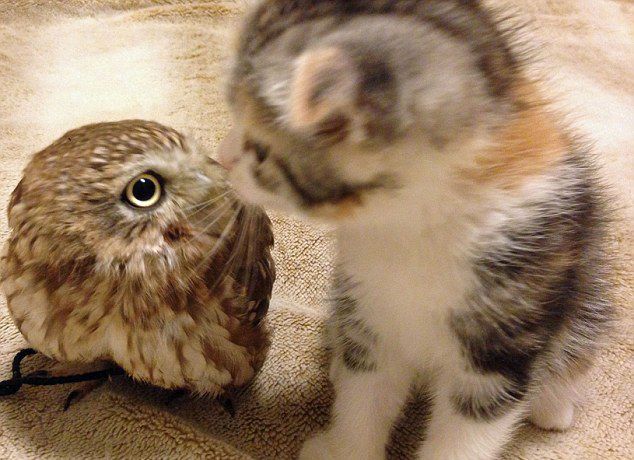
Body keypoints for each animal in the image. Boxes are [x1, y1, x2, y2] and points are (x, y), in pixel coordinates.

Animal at [217, 1, 614, 458]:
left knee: (576, 346)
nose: (221, 157)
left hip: (585, 294)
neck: (413, 224)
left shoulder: (501, 346)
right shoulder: (370, 310)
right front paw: (346, 447)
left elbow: (467, 432)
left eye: (260, 150)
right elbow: (366, 394)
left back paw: (553, 404)